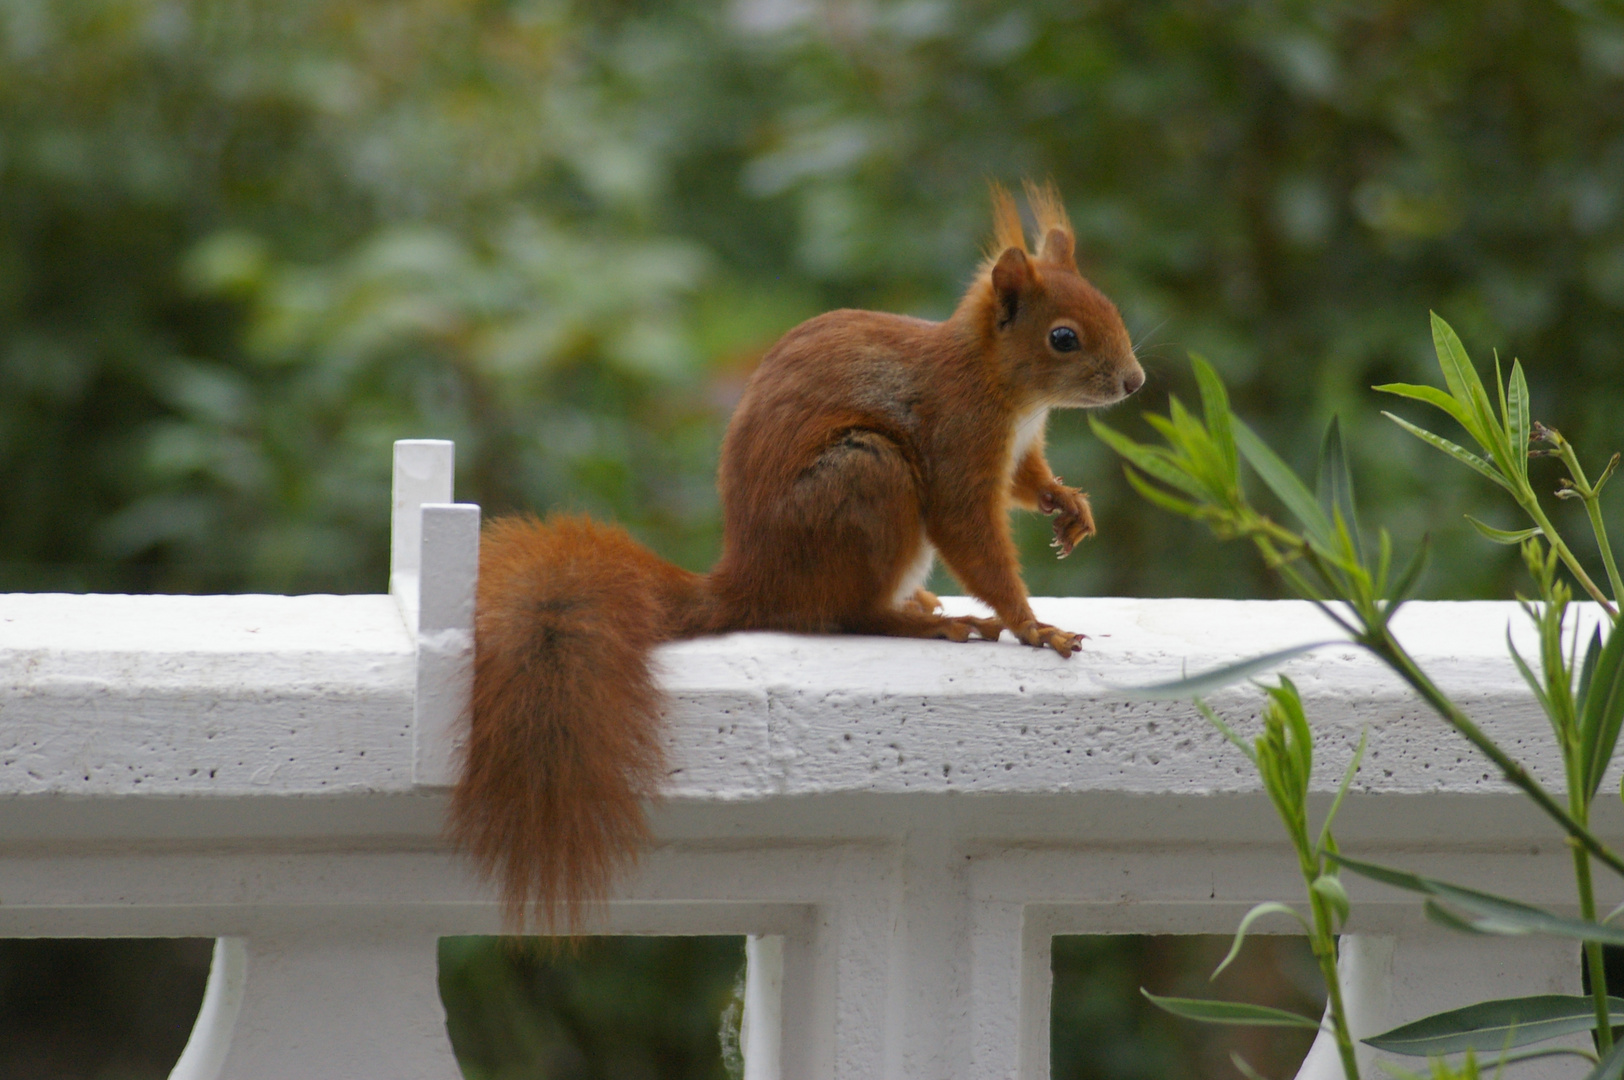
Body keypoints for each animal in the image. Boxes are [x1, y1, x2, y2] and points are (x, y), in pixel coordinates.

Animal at [451, 181, 1149, 922]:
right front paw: (1033, 625)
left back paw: (923, 600)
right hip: (868, 477)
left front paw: (1068, 505)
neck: (1004, 388)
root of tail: (750, 583)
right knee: (850, 614)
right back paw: (926, 621)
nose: (1134, 381)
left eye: (1109, 307)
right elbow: (972, 537)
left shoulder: (1016, 449)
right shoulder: (959, 442)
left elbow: (1028, 482)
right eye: (1063, 337)